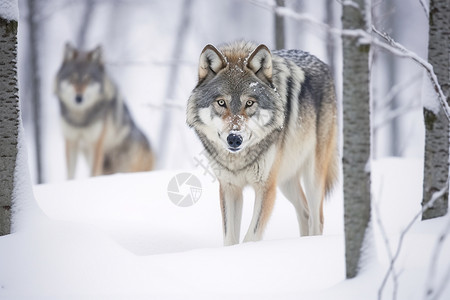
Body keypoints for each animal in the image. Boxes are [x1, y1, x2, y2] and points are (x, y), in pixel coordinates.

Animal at [53, 43, 153, 179]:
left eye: (88, 79)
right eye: (72, 79)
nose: (78, 98)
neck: (80, 119)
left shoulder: (96, 144)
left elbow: (93, 172)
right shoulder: (71, 141)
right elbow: (70, 174)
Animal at [186, 40, 338, 246]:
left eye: (249, 103)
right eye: (221, 103)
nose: (234, 138)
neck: (238, 159)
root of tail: (323, 64)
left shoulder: (266, 187)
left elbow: (251, 237)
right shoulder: (229, 188)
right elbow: (230, 239)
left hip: (312, 176)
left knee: (317, 219)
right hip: (286, 180)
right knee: (305, 213)